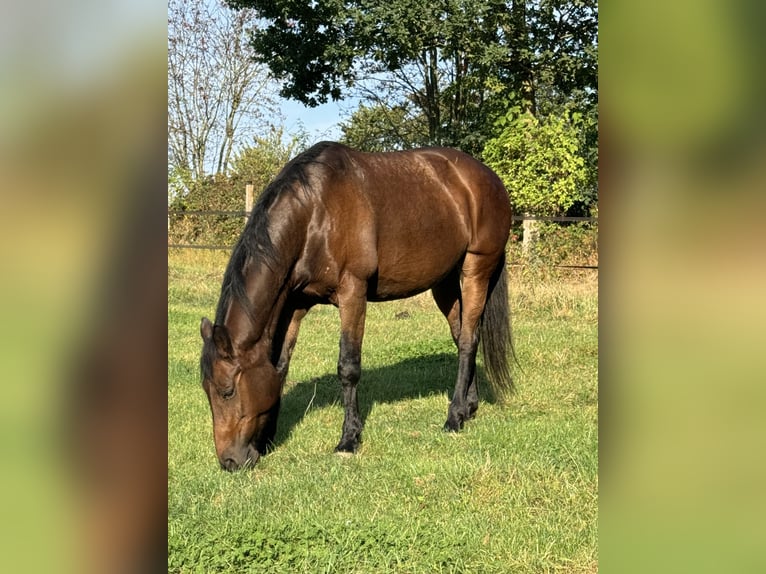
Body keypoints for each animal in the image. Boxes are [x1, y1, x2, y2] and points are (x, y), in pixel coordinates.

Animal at [202, 142, 516, 470]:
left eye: (227, 391)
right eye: (206, 391)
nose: (230, 461)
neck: (314, 213)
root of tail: (489, 178)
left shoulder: (352, 291)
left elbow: (348, 367)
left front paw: (348, 438)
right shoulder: (294, 303)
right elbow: (280, 366)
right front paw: (267, 439)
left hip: (476, 269)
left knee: (468, 341)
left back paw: (454, 417)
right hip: (444, 281)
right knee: (464, 336)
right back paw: (469, 407)